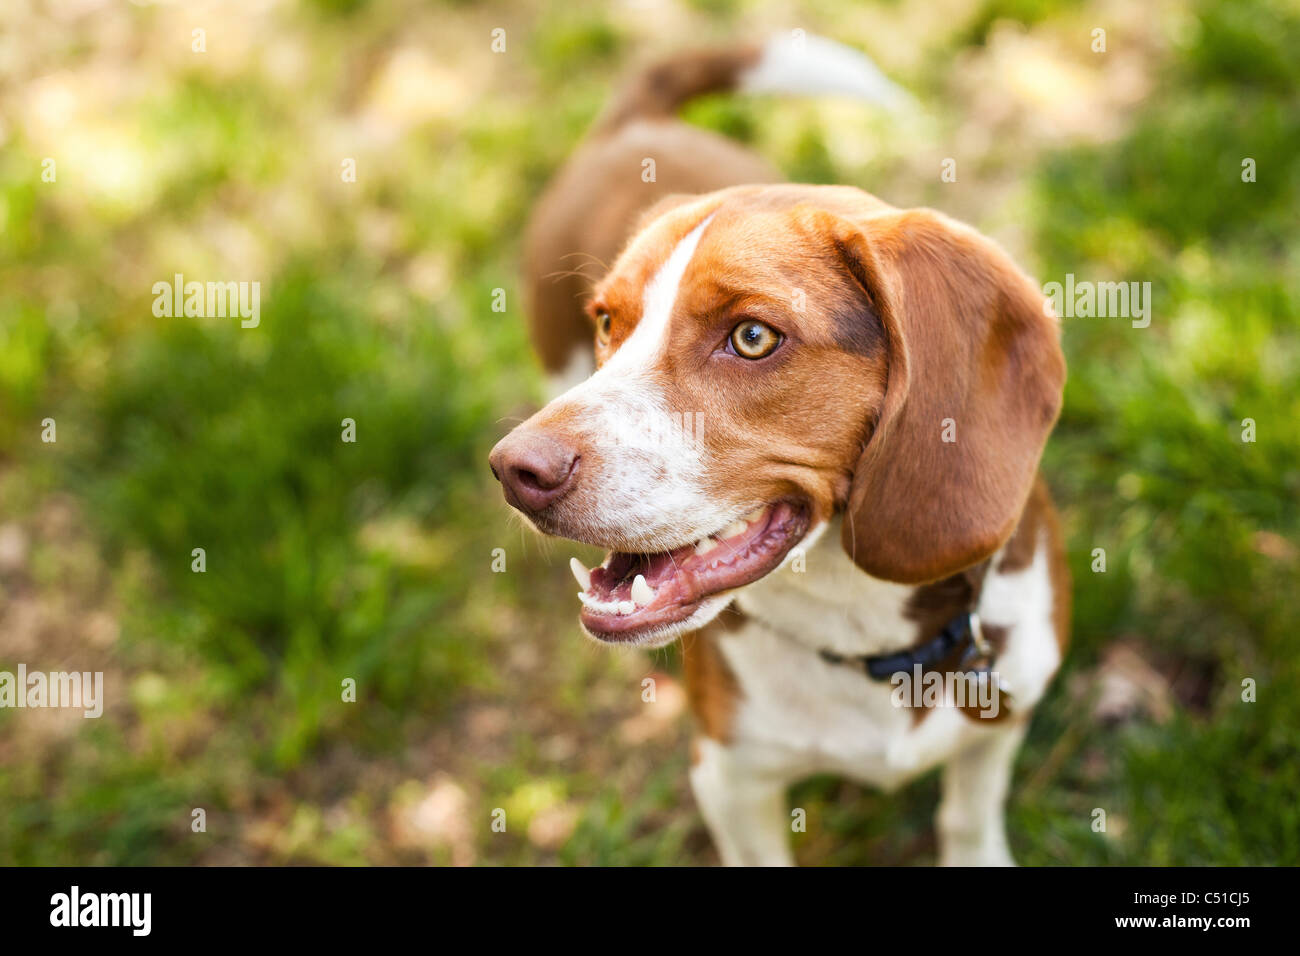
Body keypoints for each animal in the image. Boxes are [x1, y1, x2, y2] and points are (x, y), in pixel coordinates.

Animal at [491, 35, 1071, 868]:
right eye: (607, 321)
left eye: (753, 337)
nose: (514, 470)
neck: (858, 618)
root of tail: (632, 122)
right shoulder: (730, 778)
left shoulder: (1004, 714)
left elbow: (967, 815)